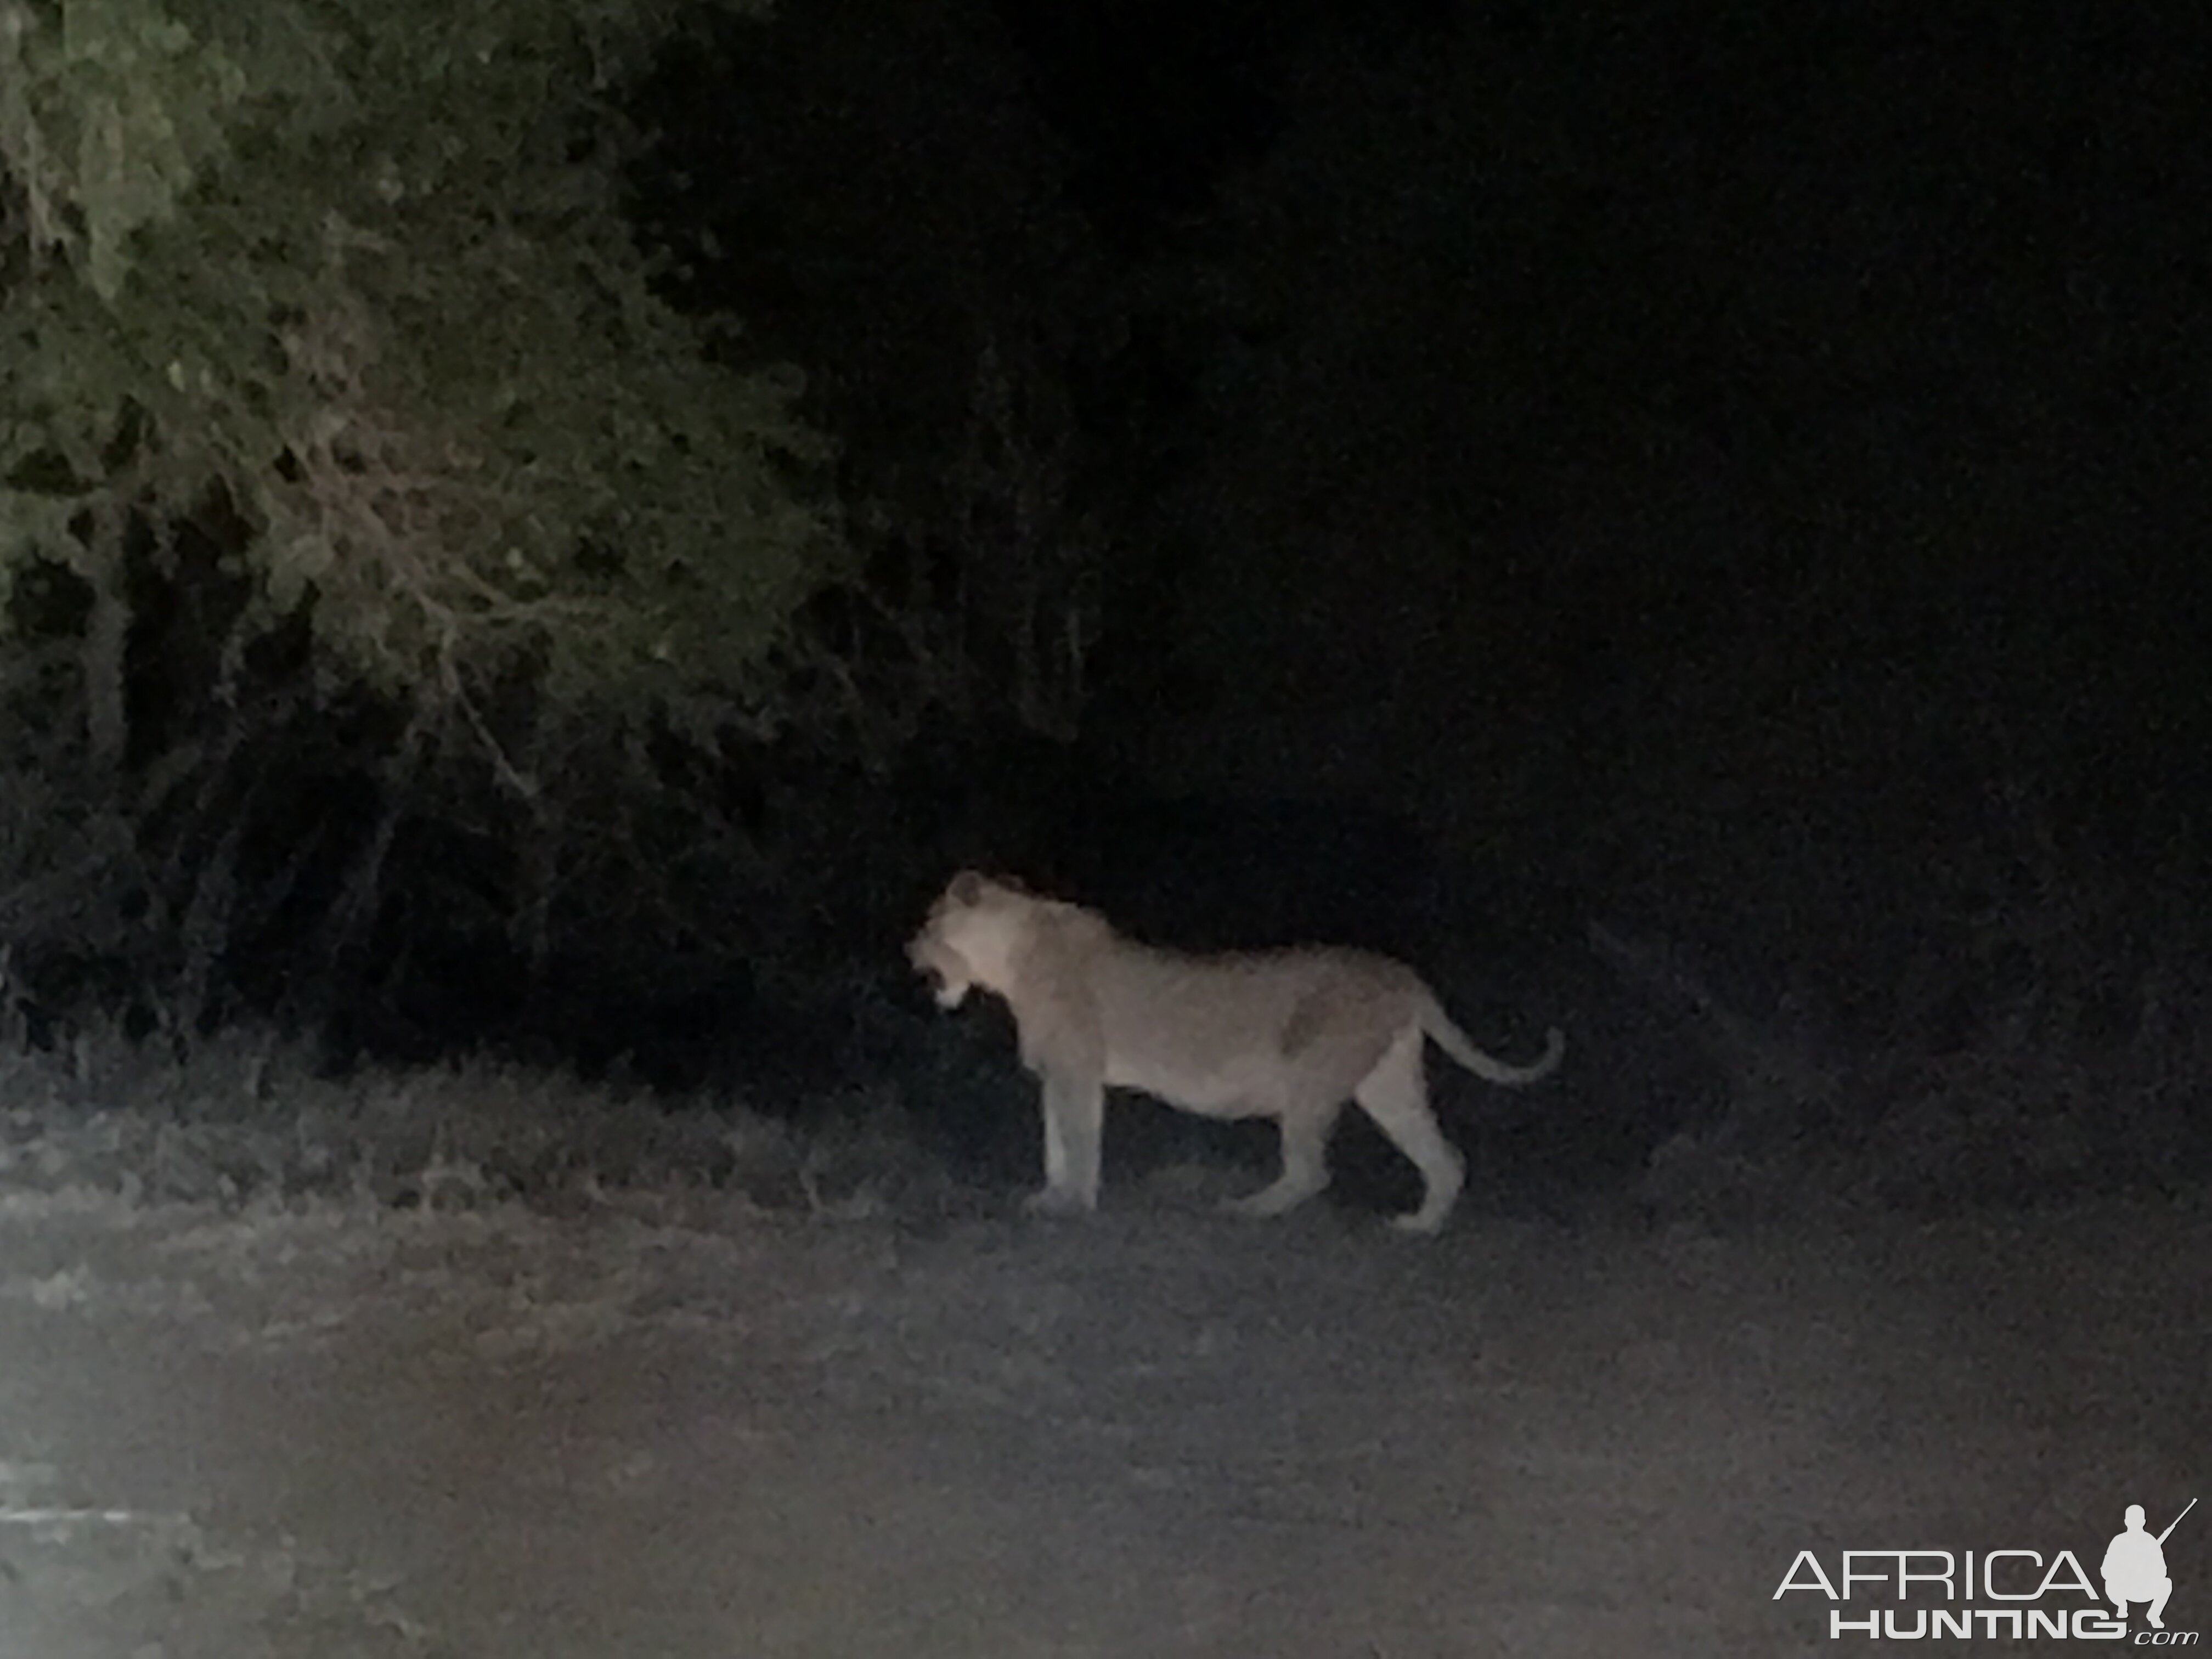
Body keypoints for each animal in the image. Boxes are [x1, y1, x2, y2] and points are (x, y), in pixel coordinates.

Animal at [907, 871, 1566, 1238]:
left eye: (931, 923)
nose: (909, 950)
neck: (1008, 962)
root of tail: (1405, 976)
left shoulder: (1077, 1070)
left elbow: (1078, 1140)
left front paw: (1074, 1207)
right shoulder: (1054, 1074)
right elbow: (1054, 1145)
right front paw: (1050, 1198)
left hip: (1310, 1076)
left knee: (1311, 1170)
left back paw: (1245, 1211)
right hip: (1387, 1082)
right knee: (1445, 1157)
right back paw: (1418, 1229)